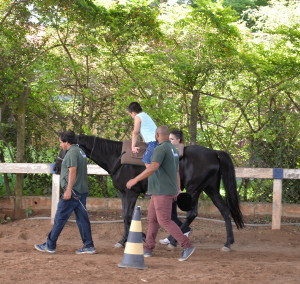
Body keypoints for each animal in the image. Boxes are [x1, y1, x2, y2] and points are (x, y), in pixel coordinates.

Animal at [54, 134, 244, 250]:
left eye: (65, 147)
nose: (55, 167)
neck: (119, 158)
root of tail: (214, 153)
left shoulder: (131, 192)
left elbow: (127, 216)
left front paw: (132, 238)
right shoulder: (123, 193)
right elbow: (126, 215)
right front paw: (127, 239)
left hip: (193, 190)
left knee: (192, 213)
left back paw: (173, 241)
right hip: (210, 189)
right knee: (225, 211)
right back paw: (228, 242)